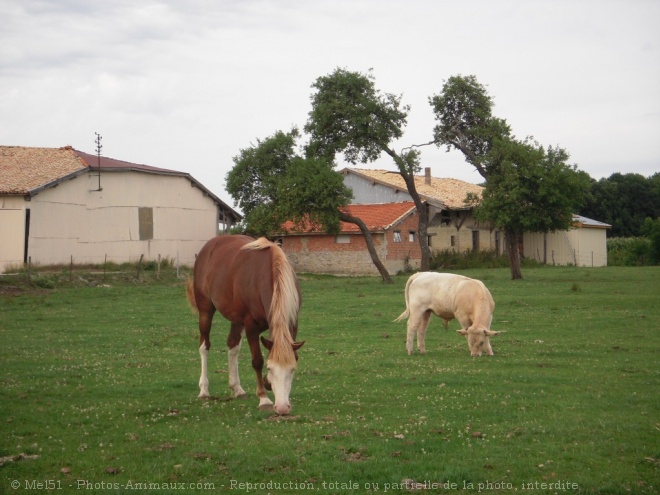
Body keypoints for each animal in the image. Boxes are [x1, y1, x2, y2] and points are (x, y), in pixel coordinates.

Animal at [186, 235, 304, 414]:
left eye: (292, 369)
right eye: (270, 368)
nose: (283, 408)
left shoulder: (292, 322)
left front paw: (266, 384)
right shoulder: (251, 326)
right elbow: (257, 361)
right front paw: (263, 398)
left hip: (236, 319)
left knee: (233, 346)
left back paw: (237, 388)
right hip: (206, 310)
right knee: (204, 346)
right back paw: (204, 390)